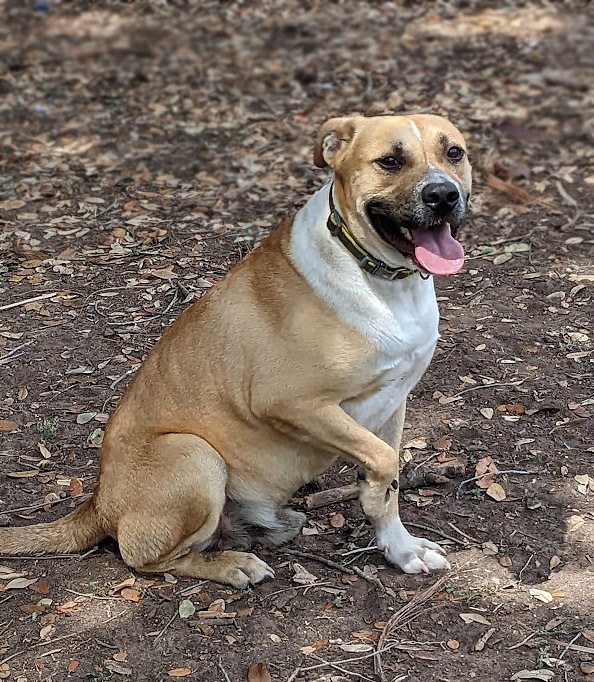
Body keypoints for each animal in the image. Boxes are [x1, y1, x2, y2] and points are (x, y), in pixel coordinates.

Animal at [1, 114, 472, 588]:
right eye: (390, 161)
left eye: (454, 152)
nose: (443, 195)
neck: (377, 276)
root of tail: (97, 501)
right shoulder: (290, 402)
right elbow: (385, 463)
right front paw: (374, 498)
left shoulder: (394, 401)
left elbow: (390, 480)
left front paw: (401, 549)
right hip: (194, 454)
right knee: (146, 558)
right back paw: (232, 565)